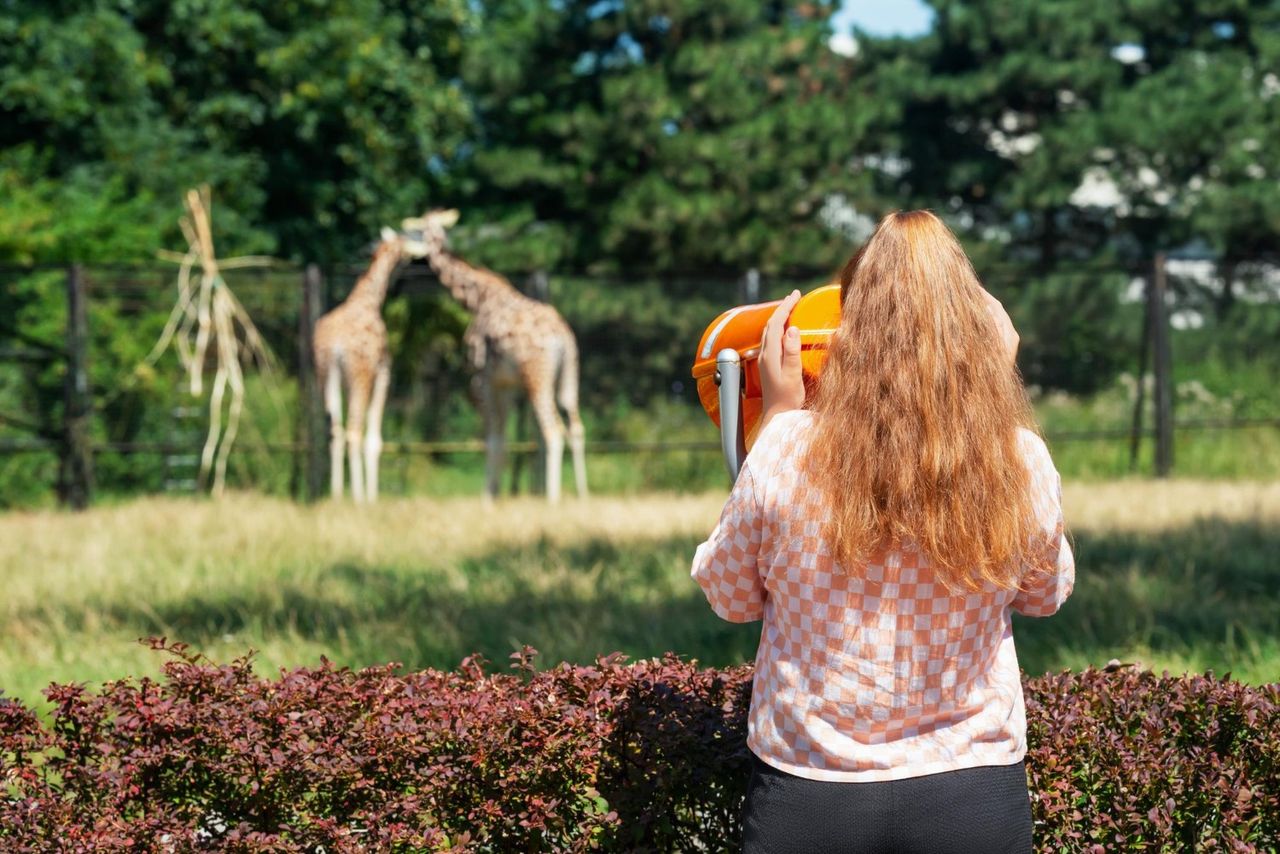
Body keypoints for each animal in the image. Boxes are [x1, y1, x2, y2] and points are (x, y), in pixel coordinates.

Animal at [312, 229, 412, 507]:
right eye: (403, 246)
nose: (410, 258)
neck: (368, 300)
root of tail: (336, 345)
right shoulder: (382, 376)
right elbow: (374, 439)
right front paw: (371, 497)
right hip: (361, 375)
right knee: (354, 431)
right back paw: (358, 498)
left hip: (327, 375)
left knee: (335, 431)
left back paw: (337, 496)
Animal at [401, 208, 586, 501]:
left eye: (418, 230)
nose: (414, 257)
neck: (478, 298)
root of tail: (562, 339)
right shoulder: (506, 384)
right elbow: (503, 438)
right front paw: (496, 492)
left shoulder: (483, 379)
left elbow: (492, 439)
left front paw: (488, 496)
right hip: (569, 376)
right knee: (576, 427)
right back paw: (582, 493)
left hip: (537, 377)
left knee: (554, 431)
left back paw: (552, 498)